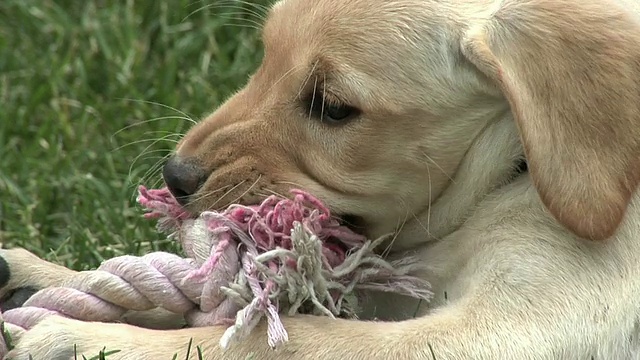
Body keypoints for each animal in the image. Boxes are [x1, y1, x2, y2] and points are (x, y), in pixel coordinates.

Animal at [3, 0, 640, 358]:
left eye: (331, 107)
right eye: (264, 58)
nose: (174, 176)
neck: (515, 167)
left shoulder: (510, 331)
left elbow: (278, 339)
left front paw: (81, 339)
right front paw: (43, 279)